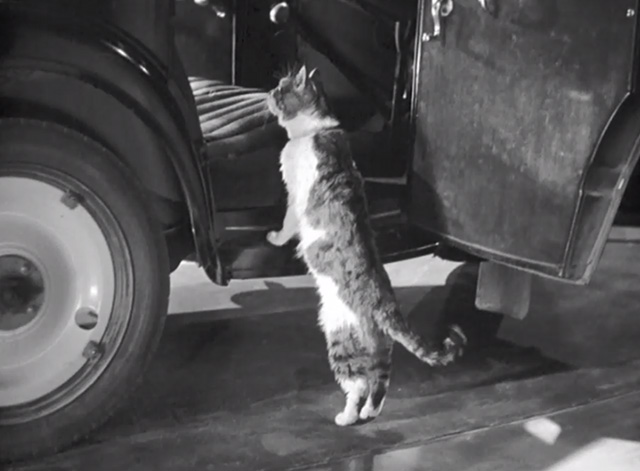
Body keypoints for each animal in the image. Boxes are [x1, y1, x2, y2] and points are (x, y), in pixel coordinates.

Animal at [264, 65, 464, 428]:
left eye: (281, 88)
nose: (267, 93)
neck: (315, 130)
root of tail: (385, 303)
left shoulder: (295, 197)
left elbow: (287, 224)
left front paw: (273, 237)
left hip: (339, 335)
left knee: (357, 383)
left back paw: (346, 417)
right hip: (378, 346)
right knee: (381, 378)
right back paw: (370, 411)